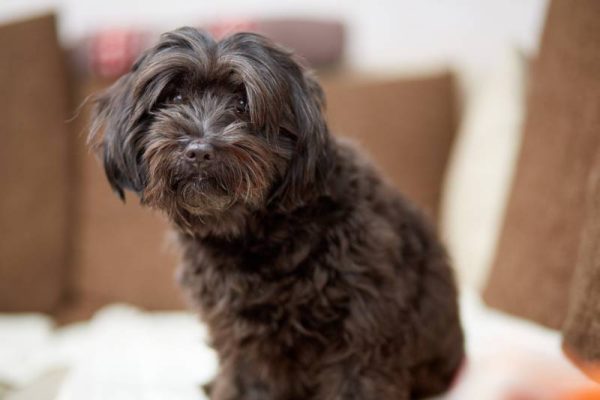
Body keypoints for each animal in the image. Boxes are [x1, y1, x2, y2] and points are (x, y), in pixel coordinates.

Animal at [89, 26, 464, 398]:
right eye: (175, 98)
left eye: (242, 104)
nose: (198, 150)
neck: (248, 233)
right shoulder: (241, 340)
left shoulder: (362, 331)